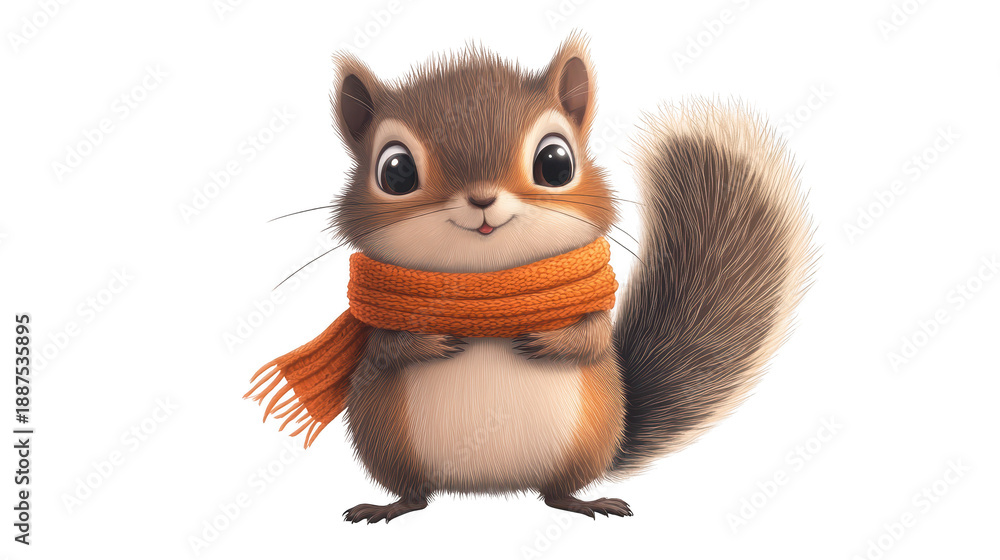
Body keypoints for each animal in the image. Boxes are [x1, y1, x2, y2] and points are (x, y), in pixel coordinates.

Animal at [274, 32, 813, 523]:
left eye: (556, 163)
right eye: (397, 171)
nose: (482, 199)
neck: (486, 286)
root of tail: (491, 486)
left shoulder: (592, 309)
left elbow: (591, 338)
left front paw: (540, 339)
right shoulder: (377, 327)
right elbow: (386, 346)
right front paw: (435, 340)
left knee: (556, 494)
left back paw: (587, 502)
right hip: (390, 447)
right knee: (416, 495)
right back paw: (389, 506)